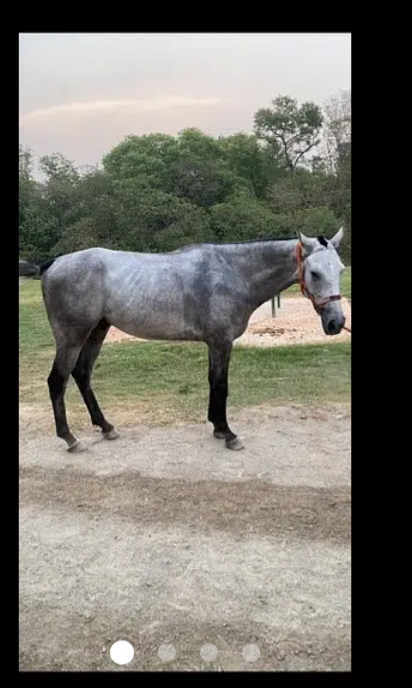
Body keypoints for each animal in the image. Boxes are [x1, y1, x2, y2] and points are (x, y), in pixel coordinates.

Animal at [19, 228, 347, 453]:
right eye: (314, 272)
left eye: (341, 269)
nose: (337, 323)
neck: (232, 273)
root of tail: (52, 264)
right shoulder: (221, 341)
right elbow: (221, 384)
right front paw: (228, 434)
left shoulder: (214, 343)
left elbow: (212, 381)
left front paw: (217, 427)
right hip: (71, 336)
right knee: (57, 381)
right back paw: (70, 439)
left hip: (96, 331)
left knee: (82, 374)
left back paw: (106, 427)